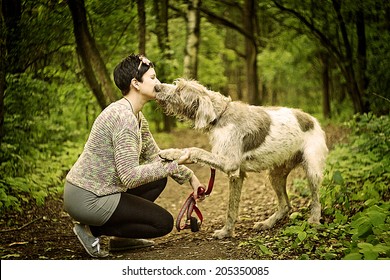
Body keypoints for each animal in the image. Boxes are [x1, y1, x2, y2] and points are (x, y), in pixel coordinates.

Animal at [154, 79, 328, 238]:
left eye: (179, 90)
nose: (156, 87)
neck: (220, 115)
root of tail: (312, 119)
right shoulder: (237, 175)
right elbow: (231, 208)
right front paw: (226, 232)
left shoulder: (230, 163)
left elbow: (196, 150)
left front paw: (172, 153)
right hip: (275, 175)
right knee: (285, 205)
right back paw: (267, 223)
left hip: (312, 170)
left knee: (316, 199)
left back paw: (314, 220)